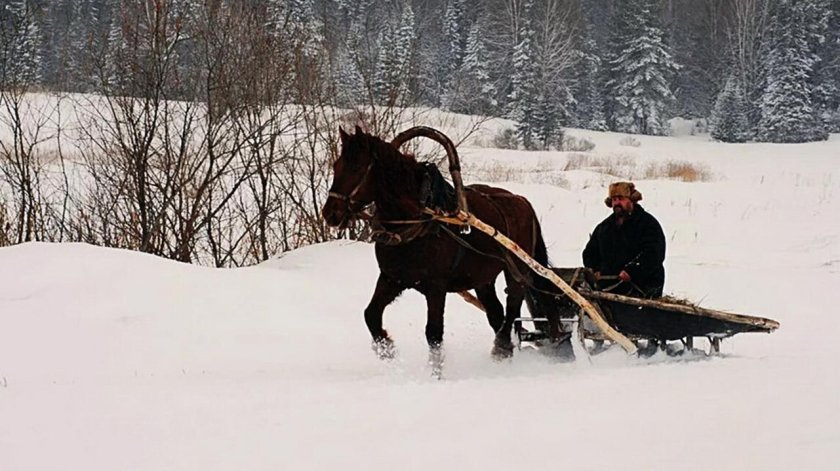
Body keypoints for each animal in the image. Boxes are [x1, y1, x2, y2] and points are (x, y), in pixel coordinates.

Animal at [321, 126, 569, 374]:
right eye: (336, 165)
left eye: (356, 167)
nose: (330, 213)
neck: (420, 218)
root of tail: (521, 201)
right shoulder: (392, 278)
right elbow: (371, 315)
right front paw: (388, 351)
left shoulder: (436, 286)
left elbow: (433, 333)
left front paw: (435, 374)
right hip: (482, 279)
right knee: (496, 312)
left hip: (517, 268)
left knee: (512, 304)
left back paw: (503, 347)